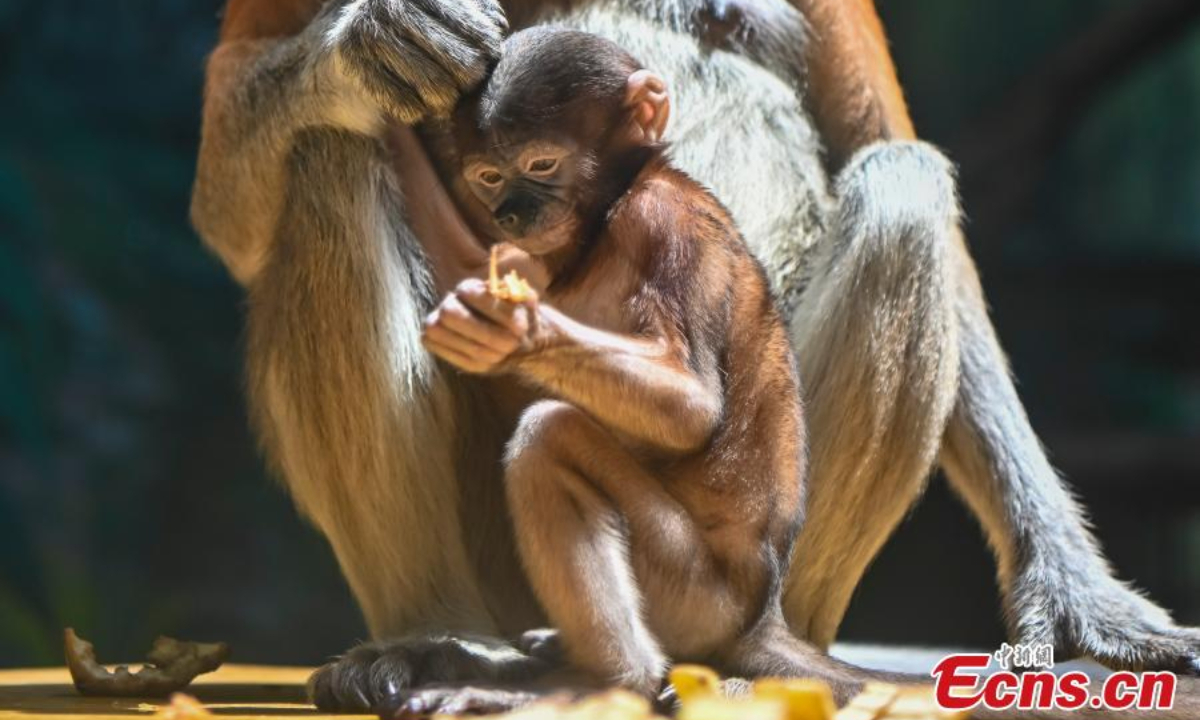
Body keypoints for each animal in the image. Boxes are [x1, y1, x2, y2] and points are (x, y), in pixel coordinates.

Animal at [191, 0, 1200, 716]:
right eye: (491, 176)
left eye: (545, 168)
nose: (512, 213)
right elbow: (229, 212)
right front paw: (367, 44)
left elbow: (875, 149)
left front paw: (1084, 600)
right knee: (327, 153)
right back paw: (437, 639)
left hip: (730, 574)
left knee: (901, 184)